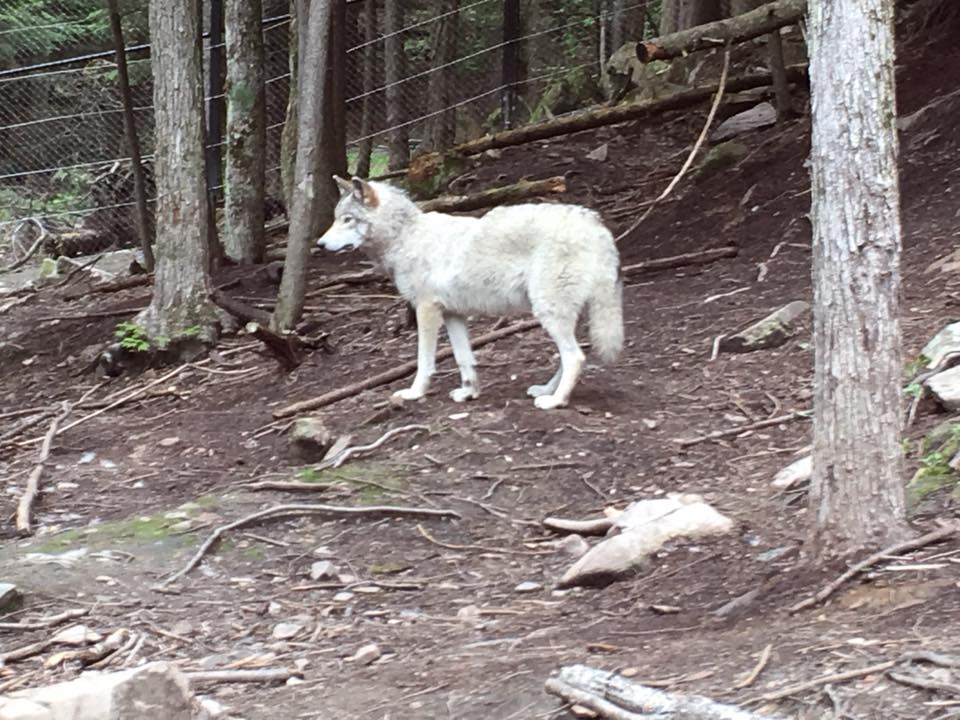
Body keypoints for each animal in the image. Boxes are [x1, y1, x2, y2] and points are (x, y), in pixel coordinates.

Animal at [317, 176, 624, 410]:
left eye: (347, 219)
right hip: (560, 314)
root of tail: (595, 224)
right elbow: (464, 358)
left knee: (575, 357)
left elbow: (424, 361)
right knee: (570, 355)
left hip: (549, 312)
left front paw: (414, 393)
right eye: (335, 219)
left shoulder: (426, 311)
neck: (407, 236)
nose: (319, 244)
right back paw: (546, 390)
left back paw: (555, 401)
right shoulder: (453, 314)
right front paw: (469, 392)